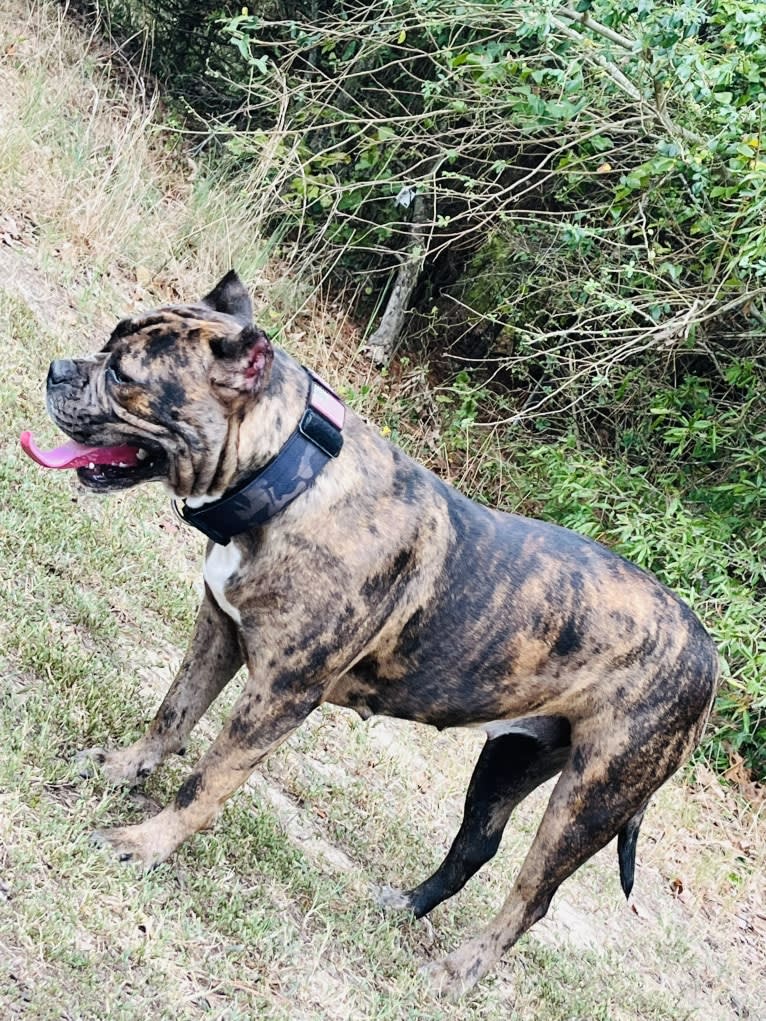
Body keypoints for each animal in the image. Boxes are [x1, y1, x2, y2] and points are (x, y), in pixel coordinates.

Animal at [36, 273, 719, 996]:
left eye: (123, 375)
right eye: (109, 341)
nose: (57, 370)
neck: (291, 477)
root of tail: (709, 658)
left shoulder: (280, 695)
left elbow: (208, 778)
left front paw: (145, 843)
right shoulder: (218, 628)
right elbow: (172, 713)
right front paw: (121, 769)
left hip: (589, 799)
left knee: (530, 898)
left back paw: (459, 970)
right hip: (511, 758)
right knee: (476, 844)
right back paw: (405, 907)